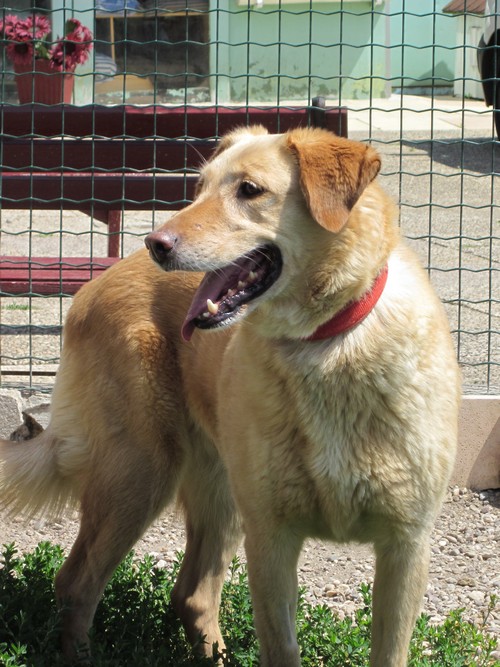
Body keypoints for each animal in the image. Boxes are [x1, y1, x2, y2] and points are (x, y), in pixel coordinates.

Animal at [0, 126, 460, 667]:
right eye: (199, 188)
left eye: (250, 190)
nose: (155, 243)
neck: (323, 345)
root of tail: (96, 283)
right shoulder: (272, 540)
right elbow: (281, 647)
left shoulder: (405, 547)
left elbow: (389, 650)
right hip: (140, 475)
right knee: (76, 582)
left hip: (219, 495)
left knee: (191, 594)